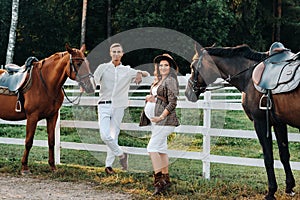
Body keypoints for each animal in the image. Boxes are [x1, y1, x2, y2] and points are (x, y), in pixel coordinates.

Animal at [0, 43, 95, 173]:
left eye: (88, 63)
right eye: (79, 63)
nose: (91, 87)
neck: (45, 84)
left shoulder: (52, 116)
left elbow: (51, 141)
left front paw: (52, 166)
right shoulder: (32, 117)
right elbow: (28, 141)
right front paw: (24, 167)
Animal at [184, 44, 298, 200]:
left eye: (193, 66)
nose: (188, 93)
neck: (249, 75)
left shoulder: (261, 122)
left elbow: (268, 158)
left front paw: (271, 191)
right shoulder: (279, 123)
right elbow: (284, 154)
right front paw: (289, 187)